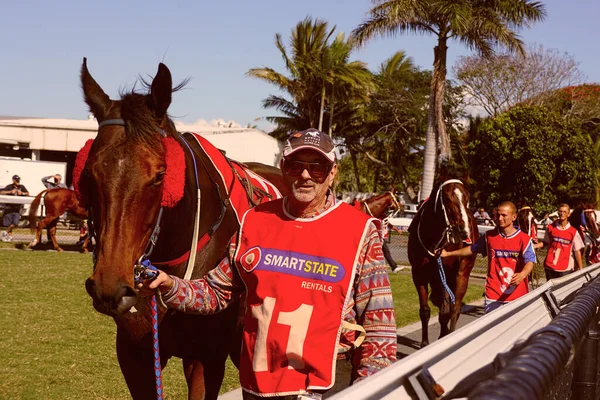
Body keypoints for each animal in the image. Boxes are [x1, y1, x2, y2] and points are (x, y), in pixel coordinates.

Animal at [408, 180, 478, 348]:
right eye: (446, 198)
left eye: (467, 197)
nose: (464, 229)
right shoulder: (419, 275)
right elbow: (425, 310)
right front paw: (425, 343)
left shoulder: (444, 275)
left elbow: (446, 311)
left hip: (461, 274)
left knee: (455, 308)